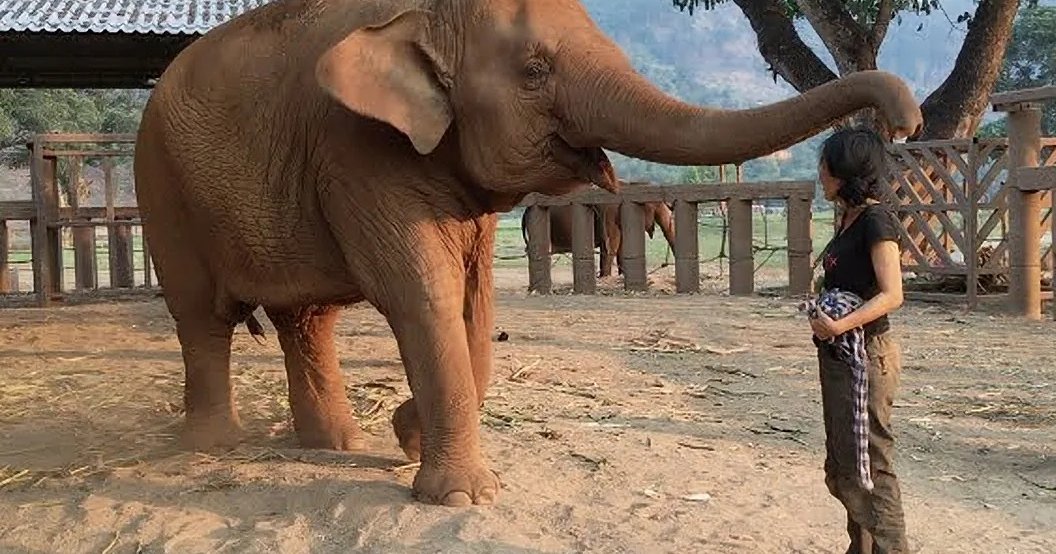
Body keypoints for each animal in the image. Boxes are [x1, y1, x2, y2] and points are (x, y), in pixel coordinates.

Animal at [520, 196, 676, 277]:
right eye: (658, 209)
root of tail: (525, 211)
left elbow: (620, 249)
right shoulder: (610, 214)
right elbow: (611, 247)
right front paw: (605, 278)